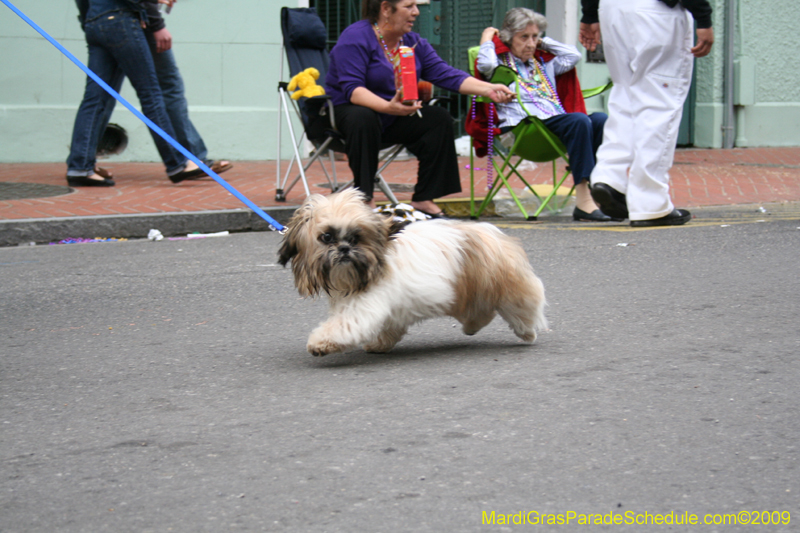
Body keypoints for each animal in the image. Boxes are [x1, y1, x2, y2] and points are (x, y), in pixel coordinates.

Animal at [278, 189, 548, 356]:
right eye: (326, 237)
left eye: (356, 238)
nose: (344, 249)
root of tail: (495, 236)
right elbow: (388, 327)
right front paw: (379, 344)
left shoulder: (365, 305)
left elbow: (345, 326)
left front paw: (320, 343)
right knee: (481, 312)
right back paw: (472, 326)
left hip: (505, 288)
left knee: (523, 306)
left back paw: (527, 332)